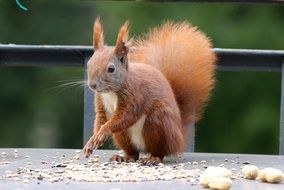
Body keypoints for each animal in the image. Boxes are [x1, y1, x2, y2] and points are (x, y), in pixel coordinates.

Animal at [83, 17, 216, 163]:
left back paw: (152, 158)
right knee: (134, 153)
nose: (92, 85)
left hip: (158, 123)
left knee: (161, 151)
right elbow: (100, 120)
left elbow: (125, 116)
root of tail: (179, 137)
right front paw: (92, 140)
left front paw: (103, 132)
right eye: (89, 64)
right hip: (123, 135)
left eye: (111, 69)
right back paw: (124, 157)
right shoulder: (100, 102)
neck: (111, 92)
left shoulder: (135, 96)